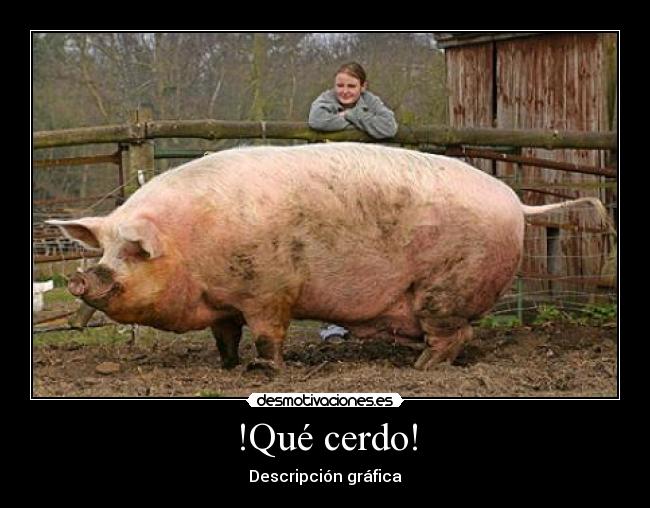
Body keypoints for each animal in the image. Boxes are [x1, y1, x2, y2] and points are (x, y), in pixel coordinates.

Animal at [47, 142, 613, 370]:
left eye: (133, 251)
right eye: (104, 248)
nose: (82, 278)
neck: (192, 244)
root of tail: (517, 202)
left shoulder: (270, 290)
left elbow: (268, 337)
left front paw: (263, 373)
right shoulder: (227, 300)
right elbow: (225, 335)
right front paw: (227, 367)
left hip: (444, 288)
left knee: (457, 335)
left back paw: (421, 369)